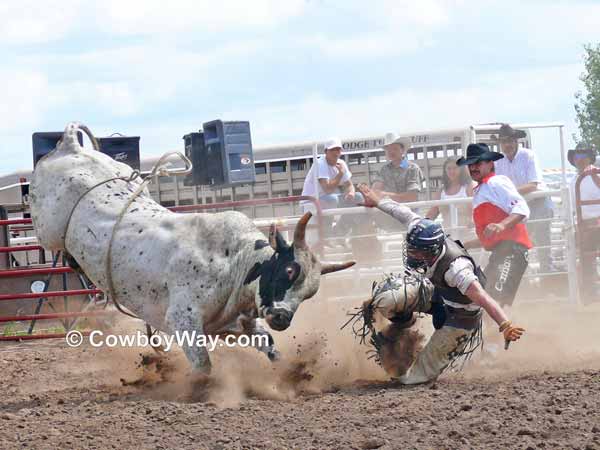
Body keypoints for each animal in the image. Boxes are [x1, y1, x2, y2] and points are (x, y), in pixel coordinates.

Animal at [29, 122, 356, 376]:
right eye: (288, 270)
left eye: (310, 293)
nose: (282, 318)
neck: (234, 262)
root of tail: (72, 146)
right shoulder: (182, 321)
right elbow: (203, 365)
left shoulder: (233, 326)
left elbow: (270, 347)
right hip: (47, 227)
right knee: (49, 239)